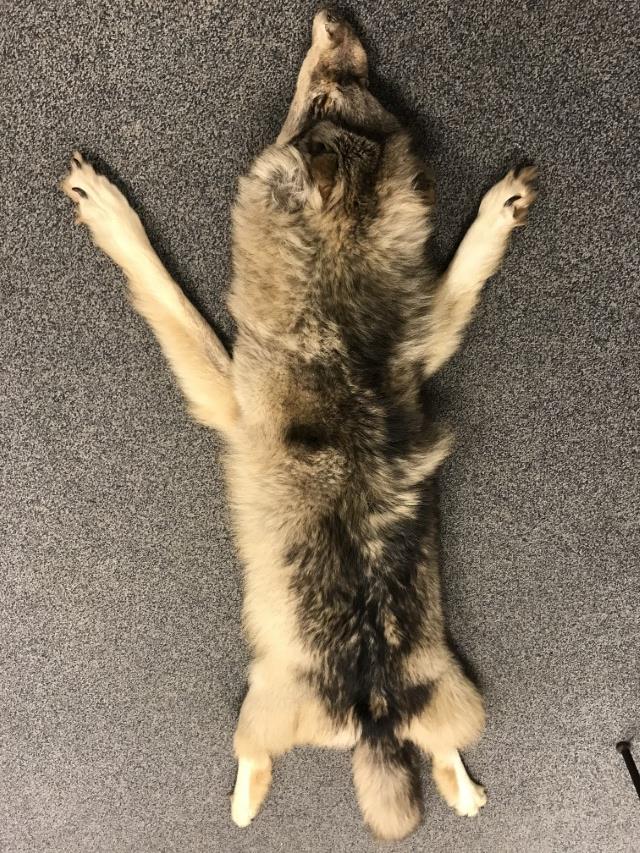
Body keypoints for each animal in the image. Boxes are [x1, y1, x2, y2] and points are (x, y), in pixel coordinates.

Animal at [61, 9, 537, 840]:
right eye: (340, 85)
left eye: (317, 99)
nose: (338, 18)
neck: (336, 298)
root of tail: (373, 716)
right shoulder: (428, 340)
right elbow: (463, 274)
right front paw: (497, 211)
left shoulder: (223, 391)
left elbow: (162, 286)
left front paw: (109, 209)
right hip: (461, 702)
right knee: (444, 759)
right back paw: (465, 795)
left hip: (258, 707)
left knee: (255, 756)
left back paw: (243, 805)